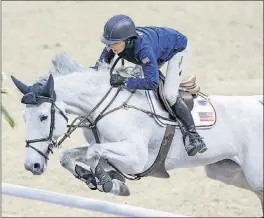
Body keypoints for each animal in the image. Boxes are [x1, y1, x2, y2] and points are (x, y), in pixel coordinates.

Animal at [9, 53, 262, 215]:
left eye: (43, 117)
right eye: (24, 118)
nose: (32, 166)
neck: (105, 107)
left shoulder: (136, 159)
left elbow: (94, 152)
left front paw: (107, 181)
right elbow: (70, 156)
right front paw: (102, 179)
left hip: (254, 174)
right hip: (227, 172)